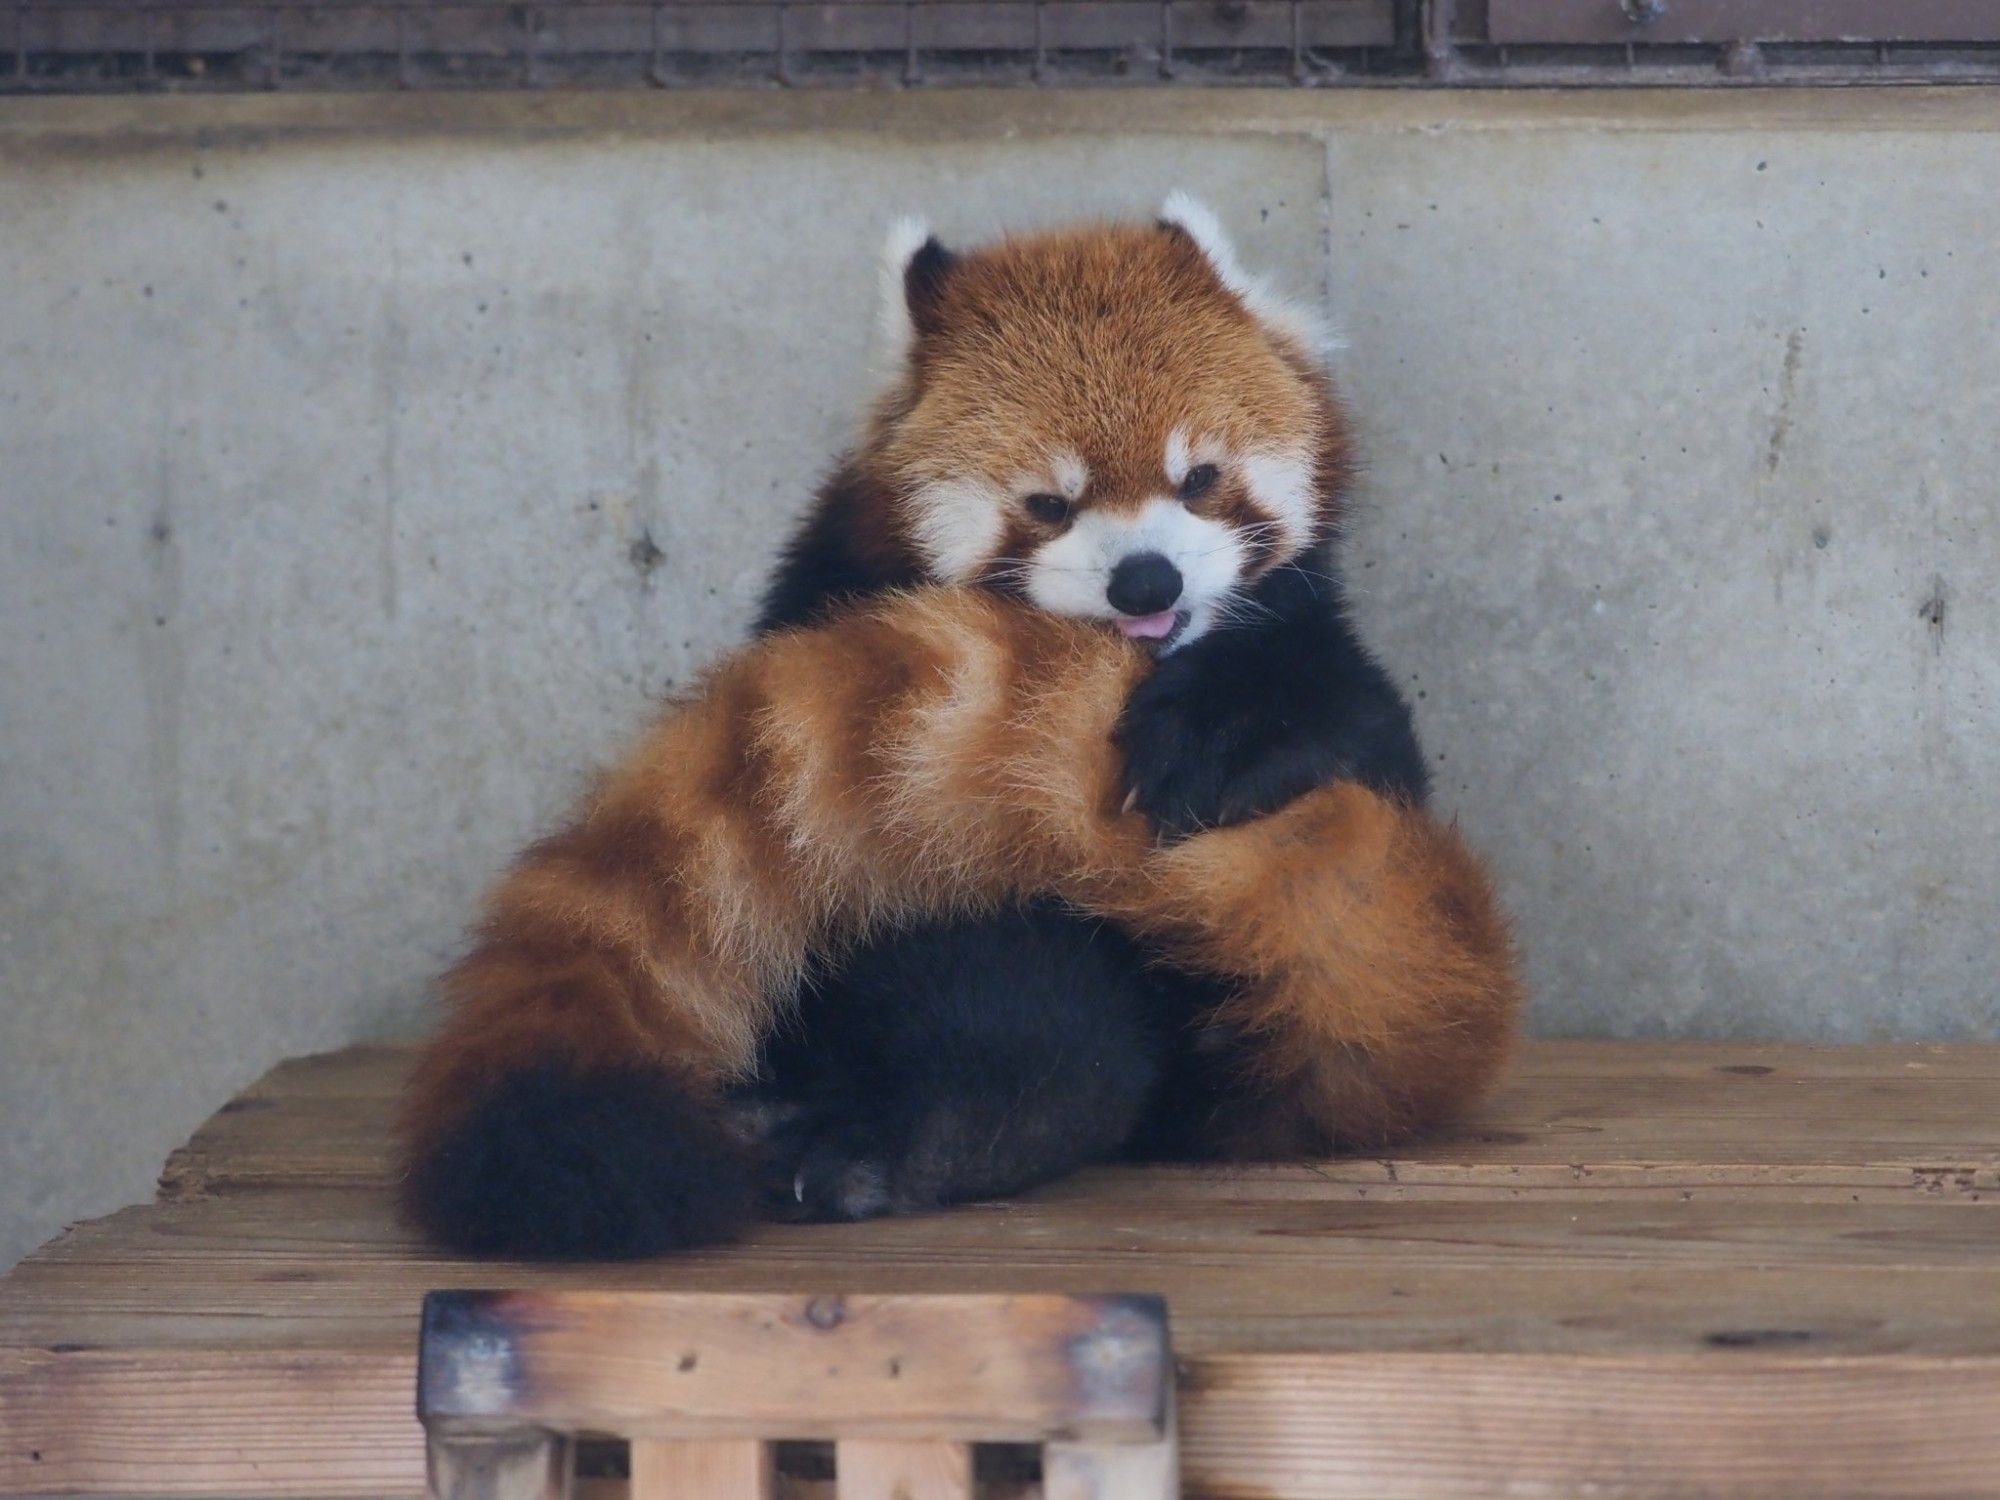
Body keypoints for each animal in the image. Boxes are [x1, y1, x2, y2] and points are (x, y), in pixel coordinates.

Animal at [398, 197, 1520, 1256]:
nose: (1145, 581)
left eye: (1198, 479)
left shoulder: (1320, 655)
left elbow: (1346, 725)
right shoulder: (822, 604)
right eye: (1048, 504)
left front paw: (1227, 735)